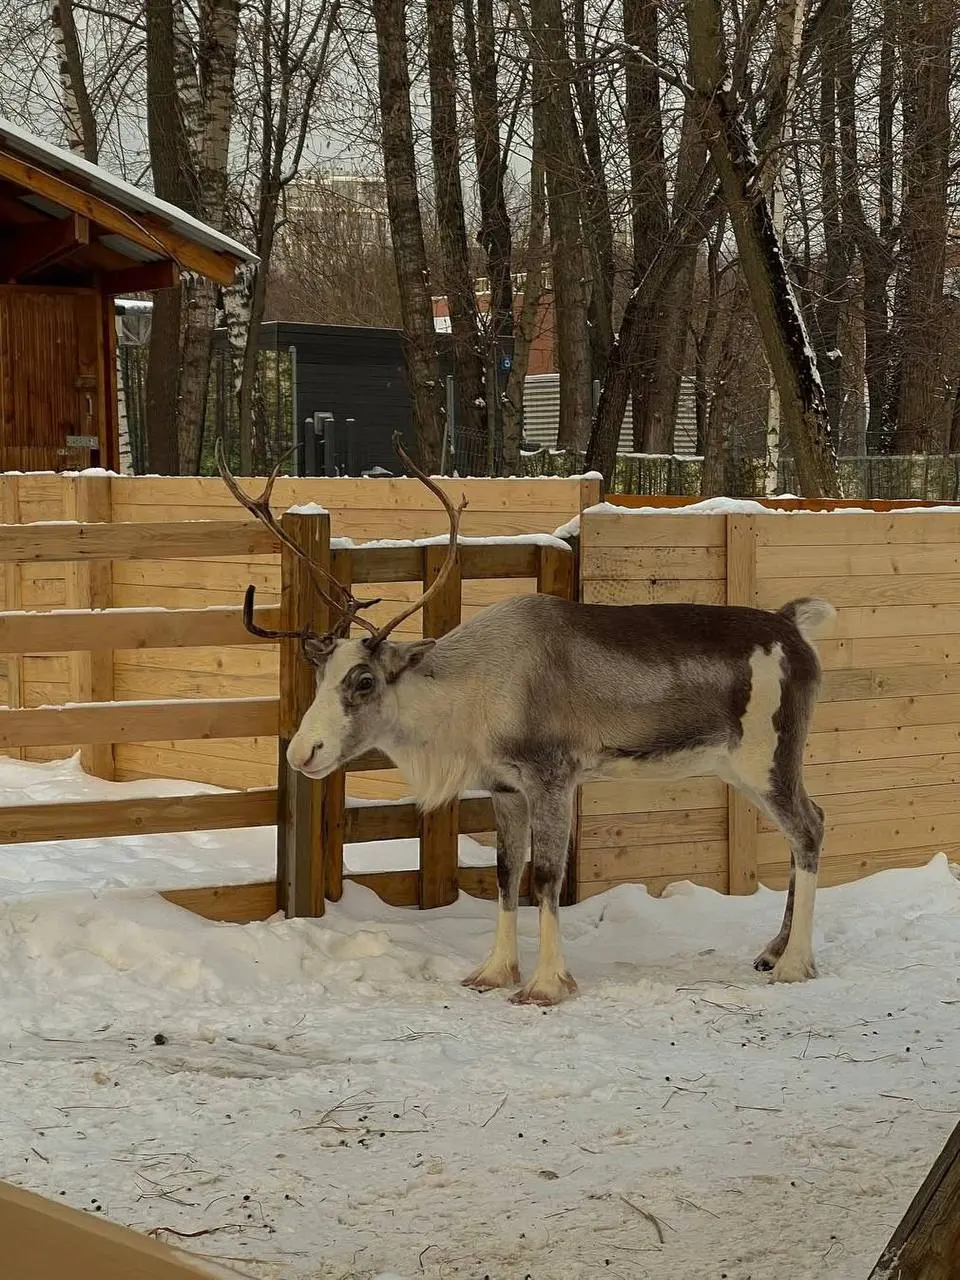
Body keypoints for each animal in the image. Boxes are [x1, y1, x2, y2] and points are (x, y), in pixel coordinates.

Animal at [217, 439, 834, 1007]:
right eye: (319, 674)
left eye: (364, 680)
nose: (303, 751)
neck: (468, 702)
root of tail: (795, 627)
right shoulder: (505, 787)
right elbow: (505, 873)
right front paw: (494, 973)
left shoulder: (553, 776)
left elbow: (545, 876)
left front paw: (546, 984)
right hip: (740, 767)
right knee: (812, 821)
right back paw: (771, 951)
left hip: (767, 756)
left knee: (808, 827)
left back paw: (794, 964)